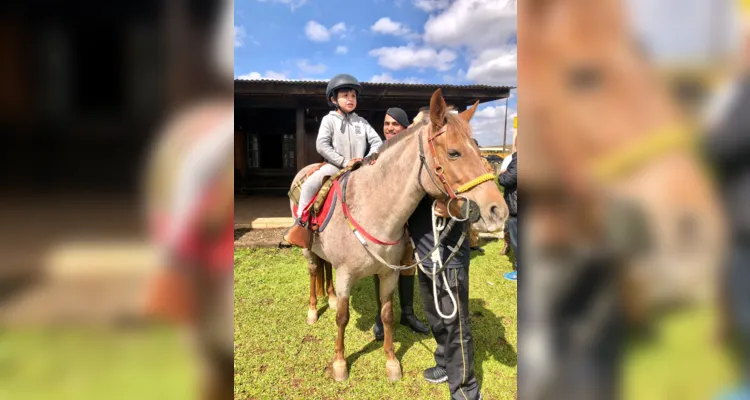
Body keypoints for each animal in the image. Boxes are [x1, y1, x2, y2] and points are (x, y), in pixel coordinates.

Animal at [288, 88, 512, 382]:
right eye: (454, 153)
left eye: (479, 150)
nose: (498, 211)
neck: (371, 208)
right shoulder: (346, 275)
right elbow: (342, 318)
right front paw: (339, 364)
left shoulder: (388, 273)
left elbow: (386, 314)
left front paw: (392, 362)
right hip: (306, 248)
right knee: (314, 271)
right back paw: (313, 311)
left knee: (325, 268)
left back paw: (331, 296)